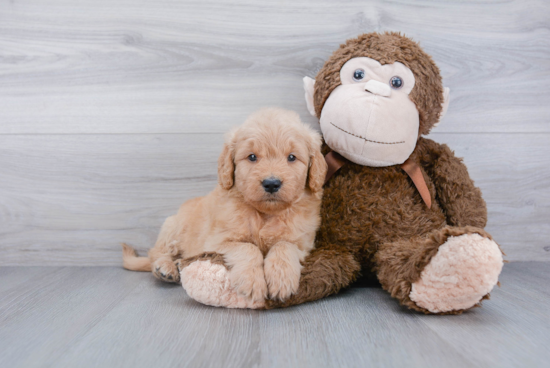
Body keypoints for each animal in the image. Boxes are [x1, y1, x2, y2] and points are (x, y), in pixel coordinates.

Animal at [122, 108, 328, 304]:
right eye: (252, 157)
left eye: (292, 157)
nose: (271, 183)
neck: (265, 214)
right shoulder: (217, 241)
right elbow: (248, 248)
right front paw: (252, 282)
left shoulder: (303, 242)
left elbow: (284, 245)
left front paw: (281, 279)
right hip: (172, 226)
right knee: (156, 252)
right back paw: (165, 267)